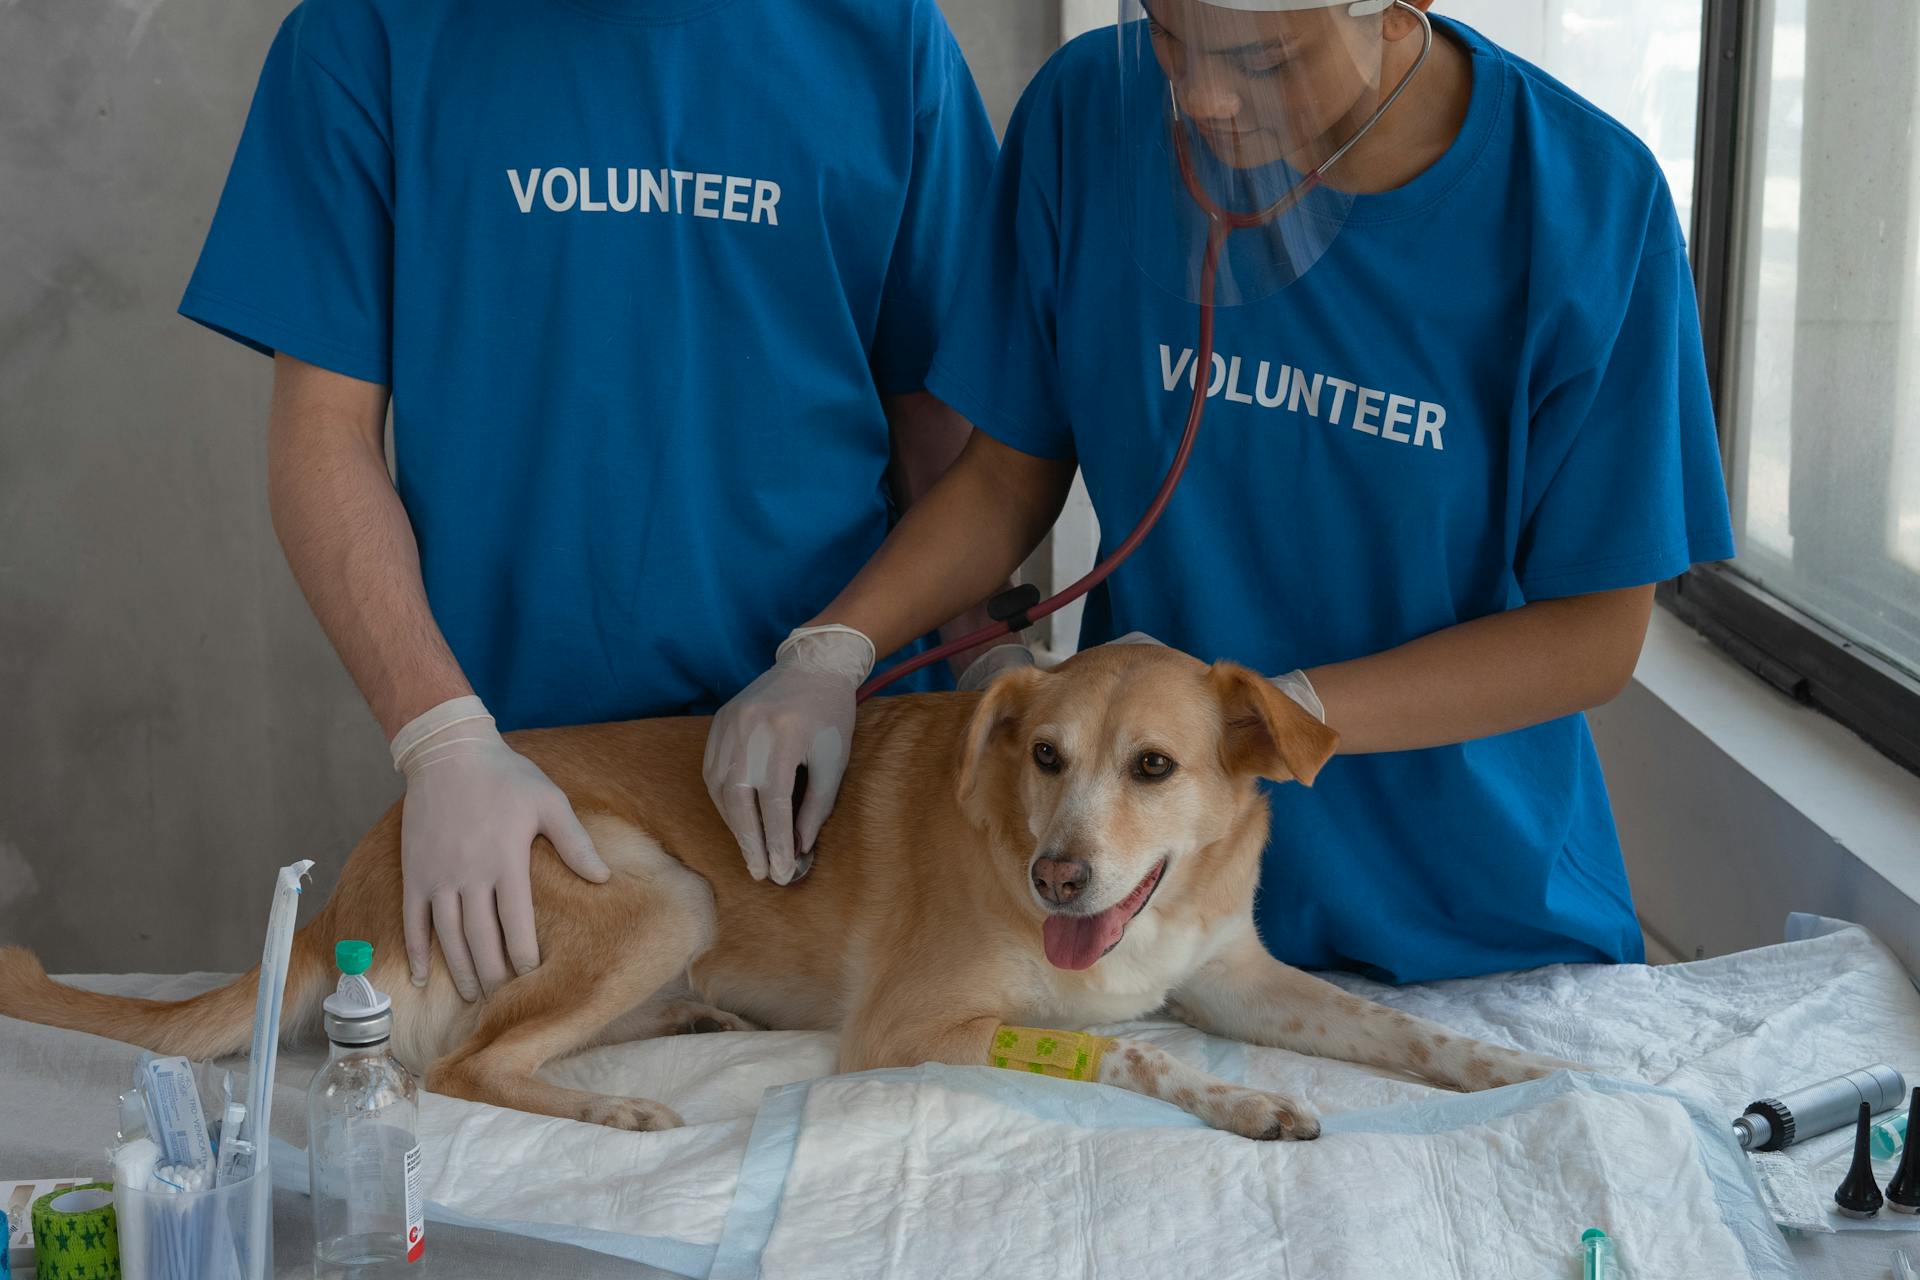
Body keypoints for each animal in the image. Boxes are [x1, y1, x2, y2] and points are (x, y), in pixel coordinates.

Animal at [0, 644, 1566, 1136]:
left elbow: (1391, 1027)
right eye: (1044, 754)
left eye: (1156, 766)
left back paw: (692, 1029)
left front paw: (1504, 1066)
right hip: (660, 892)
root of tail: (365, 860)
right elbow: (1123, 1050)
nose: (1058, 868)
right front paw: (1234, 1101)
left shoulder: (1232, 972)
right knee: (466, 1065)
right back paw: (618, 1105)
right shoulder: (914, 1028)